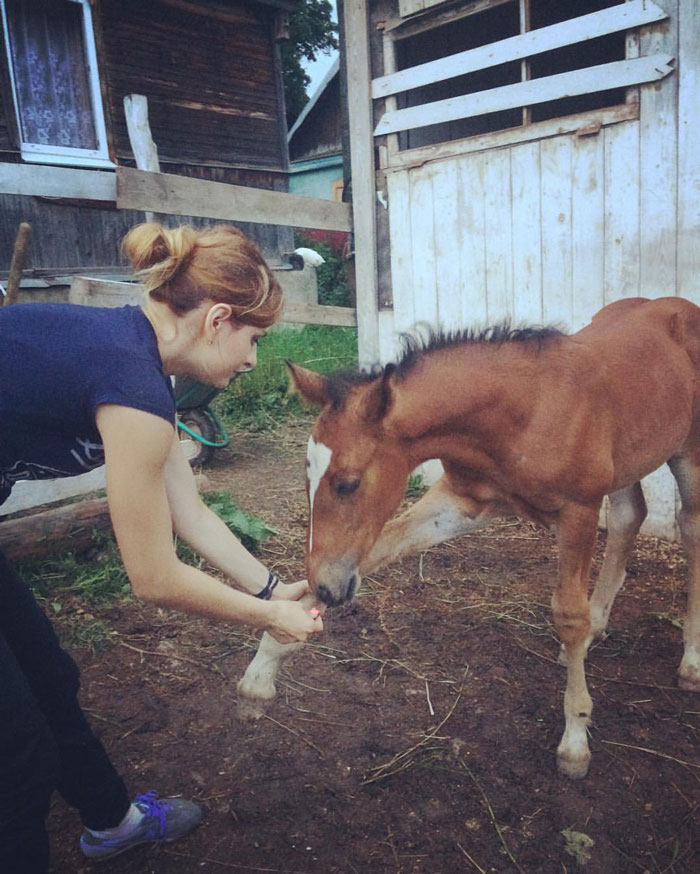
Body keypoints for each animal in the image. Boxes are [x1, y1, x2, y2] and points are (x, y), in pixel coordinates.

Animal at [241, 298, 700, 776]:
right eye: (306, 476)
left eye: (348, 483)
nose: (330, 589)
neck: (524, 412)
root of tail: (679, 306)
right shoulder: (464, 501)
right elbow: (380, 548)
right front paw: (262, 669)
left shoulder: (579, 509)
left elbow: (569, 615)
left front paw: (575, 738)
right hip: (627, 459)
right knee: (630, 517)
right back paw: (599, 629)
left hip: (688, 453)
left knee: (690, 528)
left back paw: (690, 661)